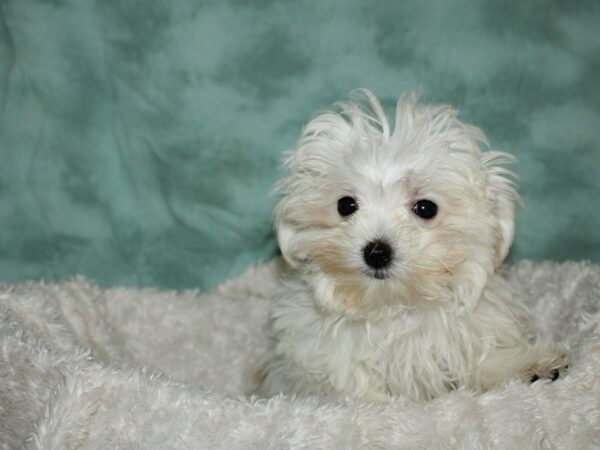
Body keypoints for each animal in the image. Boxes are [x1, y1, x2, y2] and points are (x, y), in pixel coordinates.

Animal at [258, 90, 568, 400]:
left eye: (426, 208)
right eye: (345, 205)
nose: (377, 252)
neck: (394, 307)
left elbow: (481, 361)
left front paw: (528, 364)